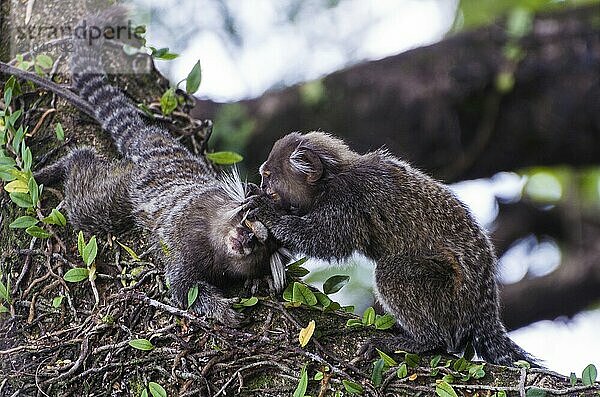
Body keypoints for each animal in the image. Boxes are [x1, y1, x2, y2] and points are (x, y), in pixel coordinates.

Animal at [248, 131, 540, 366]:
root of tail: (485, 307)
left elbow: (327, 240)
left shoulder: (348, 199)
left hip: (453, 296)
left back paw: (423, 340)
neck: (330, 181)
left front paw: (268, 212)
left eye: (268, 178)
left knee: (393, 273)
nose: (262, 186)